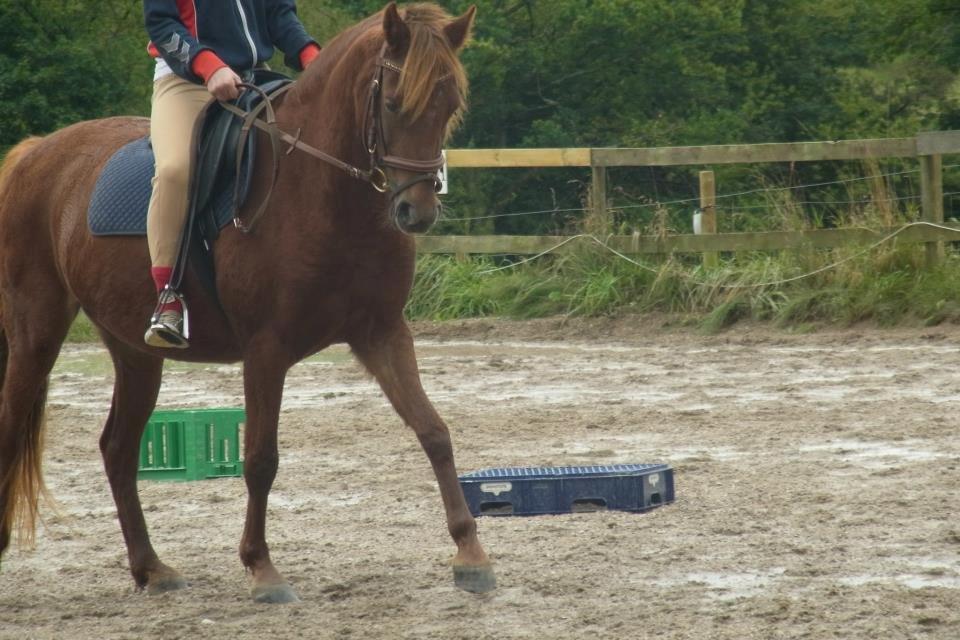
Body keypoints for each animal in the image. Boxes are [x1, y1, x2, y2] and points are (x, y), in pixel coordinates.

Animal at [0, 2, 494, 603]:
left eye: (450, 105)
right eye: (395, 103)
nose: (416, 213)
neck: (322, 191)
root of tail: (36, 152)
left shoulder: (382, 332)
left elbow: (434, 432)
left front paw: (471, 555)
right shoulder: (266, 348)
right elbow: (260, 458)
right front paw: (262, 569)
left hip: (134, 350)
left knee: (118, 449)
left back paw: (152, 569)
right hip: (36, 332)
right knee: (13, 427)